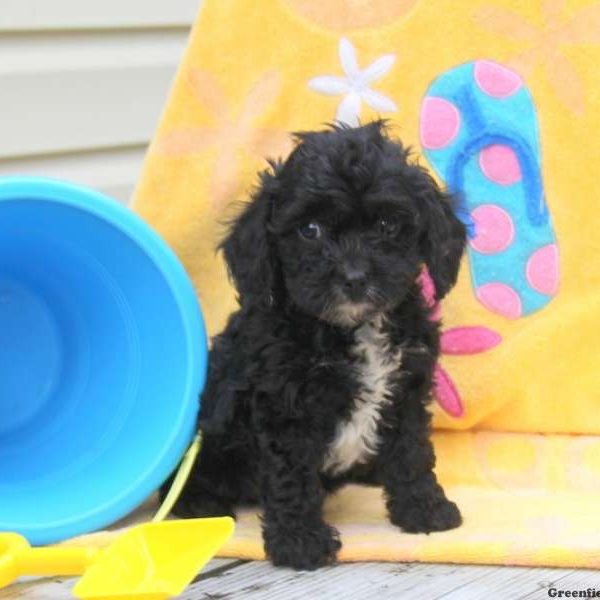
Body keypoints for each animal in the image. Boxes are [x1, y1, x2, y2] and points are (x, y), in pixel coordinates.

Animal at [171, 120, 466, 568]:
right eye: (310, 231)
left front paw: (425, 509)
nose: (354, 277)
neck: (352, 327)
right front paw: (300, 541)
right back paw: (198, 504)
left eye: (387, 226)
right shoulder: (284, 404)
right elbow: (291, 475)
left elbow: (412, 452)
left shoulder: (407, 387)